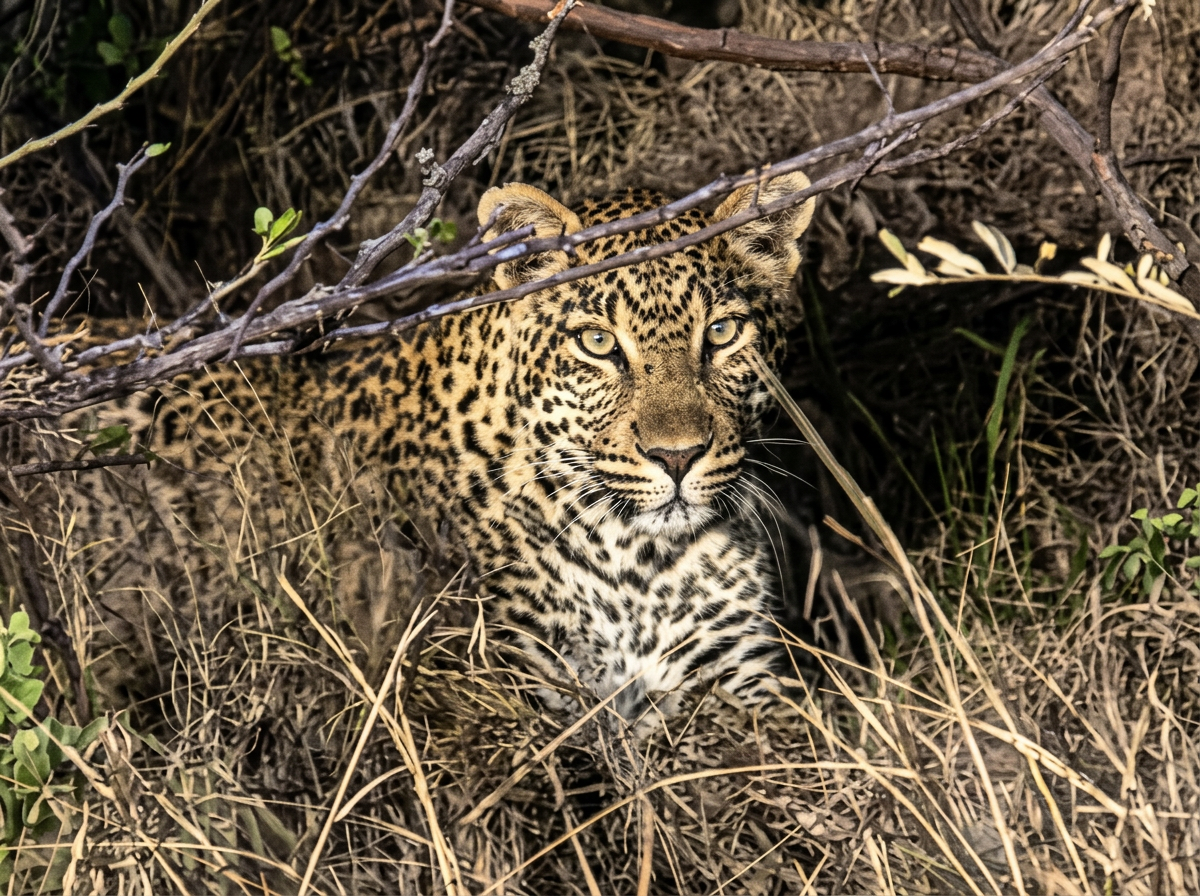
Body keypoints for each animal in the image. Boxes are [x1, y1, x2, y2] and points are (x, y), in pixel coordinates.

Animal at [6, 171, 815, 728]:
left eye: (722, 333)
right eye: (596, 344)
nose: (677, 456)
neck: (643, 563)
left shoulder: (745, 682)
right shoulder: (501, 691)